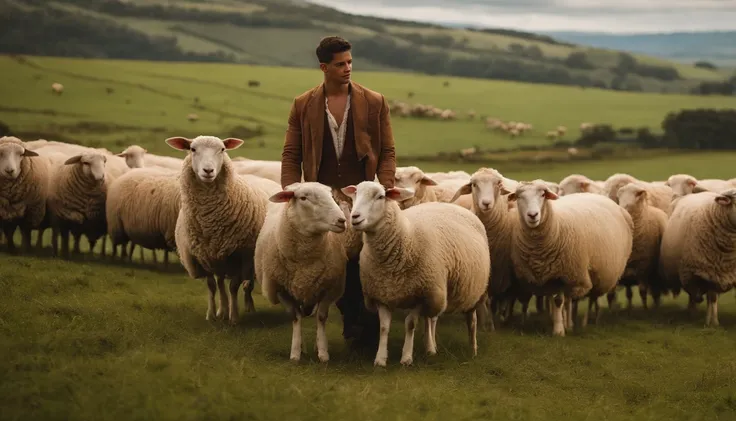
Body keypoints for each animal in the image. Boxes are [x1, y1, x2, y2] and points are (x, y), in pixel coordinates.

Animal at [165, 135, 272, 322]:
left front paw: (234, 317)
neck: (209, 220)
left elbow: (234, 286)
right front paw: (212, 314)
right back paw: (222, 310)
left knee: (247, 285)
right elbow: (212, 286)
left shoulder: (241, 255)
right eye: (192, 149)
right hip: (219, 256)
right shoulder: (202, 256)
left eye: (222, 149)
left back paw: (248, 308)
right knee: (221, 283)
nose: (208, 171)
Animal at [256, 182, 350, 362]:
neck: (305, 265)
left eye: (331, 196)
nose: (341, 220)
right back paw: (302, 347)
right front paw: (295, 353)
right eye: (304, 198)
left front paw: (323, 352)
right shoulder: (282, 290)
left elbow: (321, 317)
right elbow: (295, 318)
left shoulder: (329, 288)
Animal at [342, 180, 492, 364]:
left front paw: (406, 358)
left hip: (472, 289)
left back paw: (473, 349)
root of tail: (450, 204)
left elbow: (410, 324)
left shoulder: (419, 296)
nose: (354, 217)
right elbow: (384, 327)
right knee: (430, 319)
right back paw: (431, 348)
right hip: (436, 289)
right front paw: (380, 358)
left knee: (471, 321)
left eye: (380, 197)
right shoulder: (382, 295)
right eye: (355, 194)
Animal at [506, 180, 632, 334]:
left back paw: (584, 322)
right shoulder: (549, 277)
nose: (533, 215)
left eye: (543, 195)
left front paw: (559, 331)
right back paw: (569, 322)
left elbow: (558, 301)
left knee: (588, 297)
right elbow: (553, 300)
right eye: (519, 197)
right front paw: (558, 323)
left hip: (596, 272)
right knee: (569, 298)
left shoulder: (565, 273)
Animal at [660, 189, 736, 326]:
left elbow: (712, 298)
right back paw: (692, 312)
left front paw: (714, 322)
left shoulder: (716, 273)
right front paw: (707, 321)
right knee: (693, 295)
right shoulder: (698, 272)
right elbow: (704, 296)